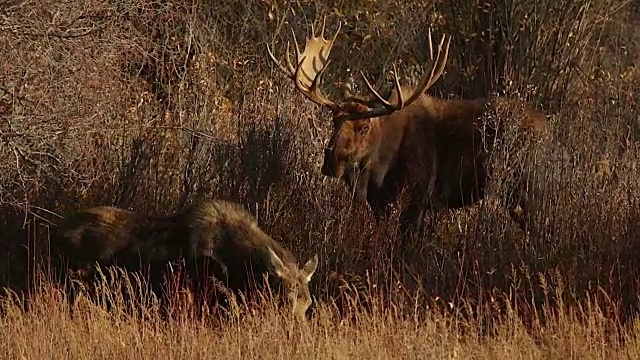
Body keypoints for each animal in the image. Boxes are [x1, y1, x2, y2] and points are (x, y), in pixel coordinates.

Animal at [268, 18, 548, 238]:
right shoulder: (380, 203)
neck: (379, 169)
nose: (331, 160)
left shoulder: (418, 198)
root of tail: (545, 126)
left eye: (364, 127)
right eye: (333, 120)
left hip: (524, 186)